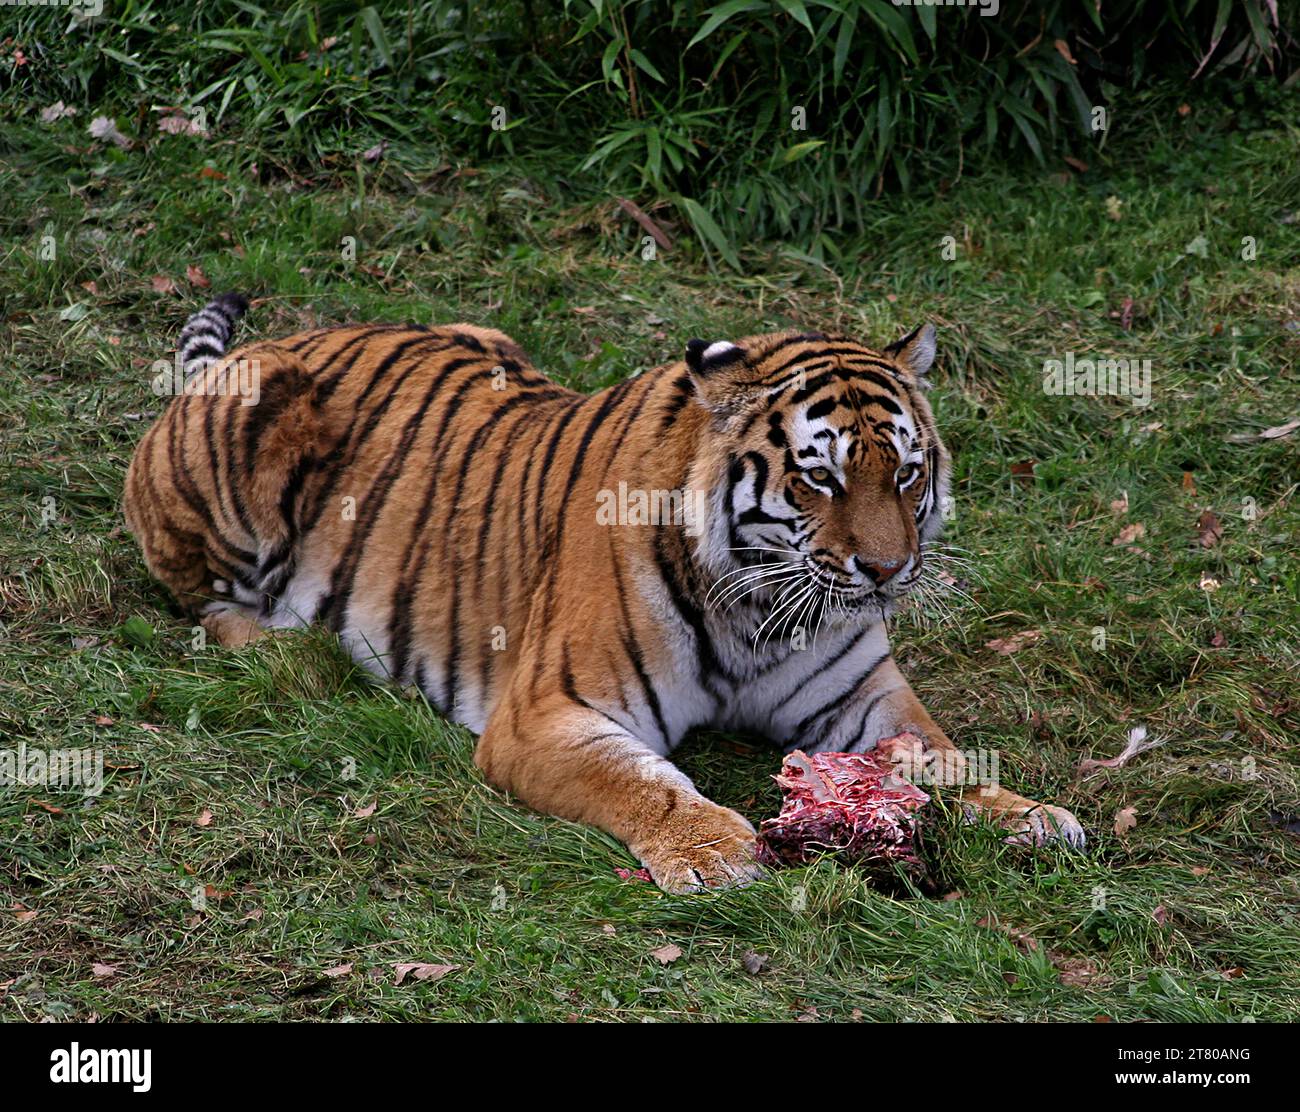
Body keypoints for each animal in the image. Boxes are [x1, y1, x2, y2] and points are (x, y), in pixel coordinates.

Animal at [126, 295, 1081, 894]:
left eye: (907, 473)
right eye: (822, 477)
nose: (888, 572)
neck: (761, 610)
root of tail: (273, 343)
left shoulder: (863, 698)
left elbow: (947, 758)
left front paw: (1030, 816)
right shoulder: (545, 713)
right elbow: (641, 782)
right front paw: (715, 849)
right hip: (242, 441)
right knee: (204, 604)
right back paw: (300, 649)